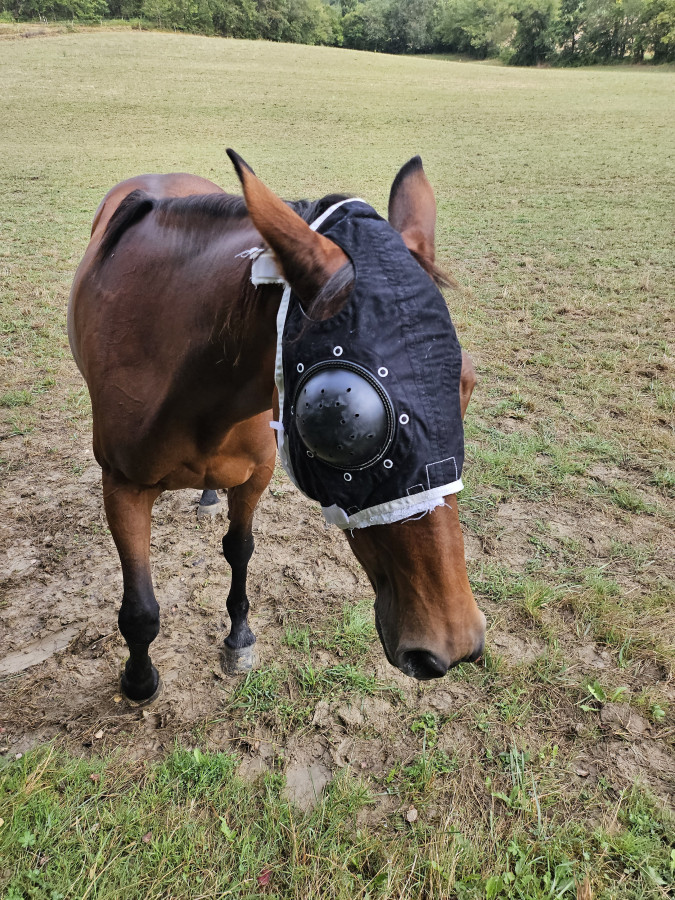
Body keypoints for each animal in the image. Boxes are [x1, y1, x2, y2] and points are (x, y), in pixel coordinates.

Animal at [68, 151, 486, 708]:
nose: (454, 642)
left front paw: (238, 637)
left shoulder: (257, 474)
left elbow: (239, 549)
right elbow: (139, 608)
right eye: (335, 415)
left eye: (466, 382)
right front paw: (138, 681)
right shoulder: (121, 486)